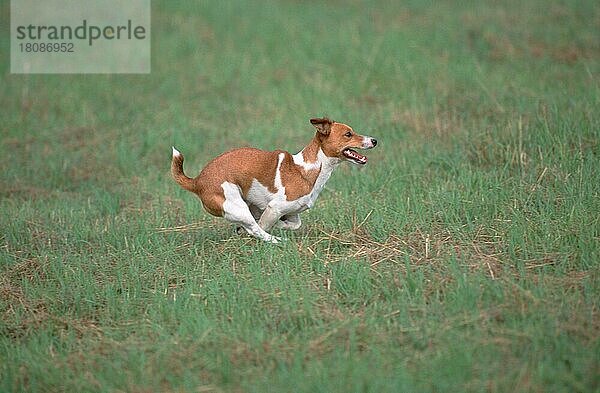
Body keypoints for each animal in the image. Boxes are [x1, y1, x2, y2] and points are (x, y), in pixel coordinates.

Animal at [171, 117, 376, 242]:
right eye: (348, 134)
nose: (374, 140)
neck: (310, 168)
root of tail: (197, 181)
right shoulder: (274, 207)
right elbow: (263, 225)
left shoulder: (292, 212)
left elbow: (294, 224)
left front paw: (280, 224)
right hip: (237, 206)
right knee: (255, 229)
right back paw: (276, 240)